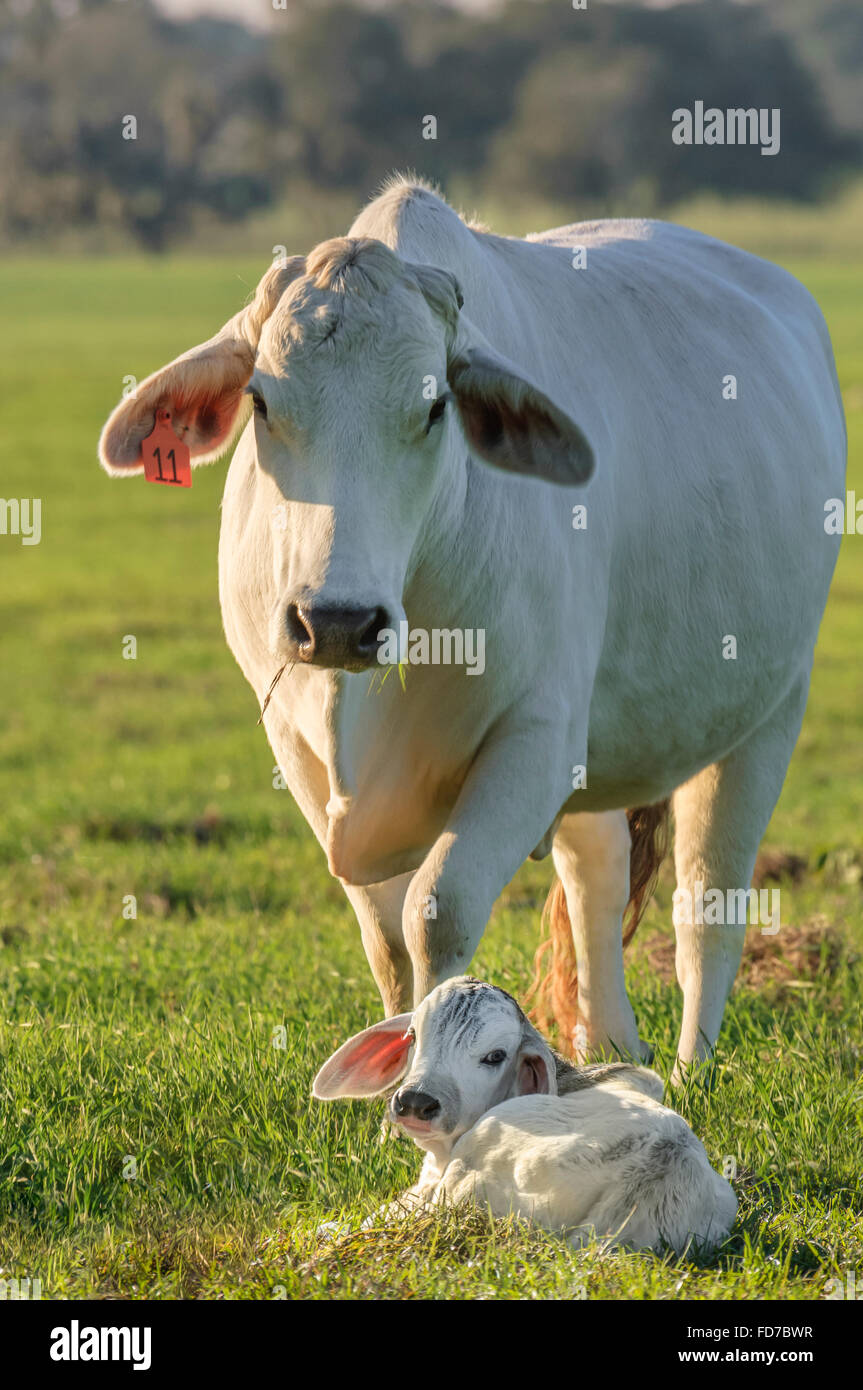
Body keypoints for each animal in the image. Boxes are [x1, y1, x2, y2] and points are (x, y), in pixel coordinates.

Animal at [98, 176, 845, 1080]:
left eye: (433, 407)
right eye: (261, 401)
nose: (337, 621)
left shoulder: (533, 734)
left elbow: (435, 912)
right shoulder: (297, 746)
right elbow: (386, 938)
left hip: (769, 711)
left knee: (708, 897)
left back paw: (686, 1072)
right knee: (597, 877)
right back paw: (607, 1047)